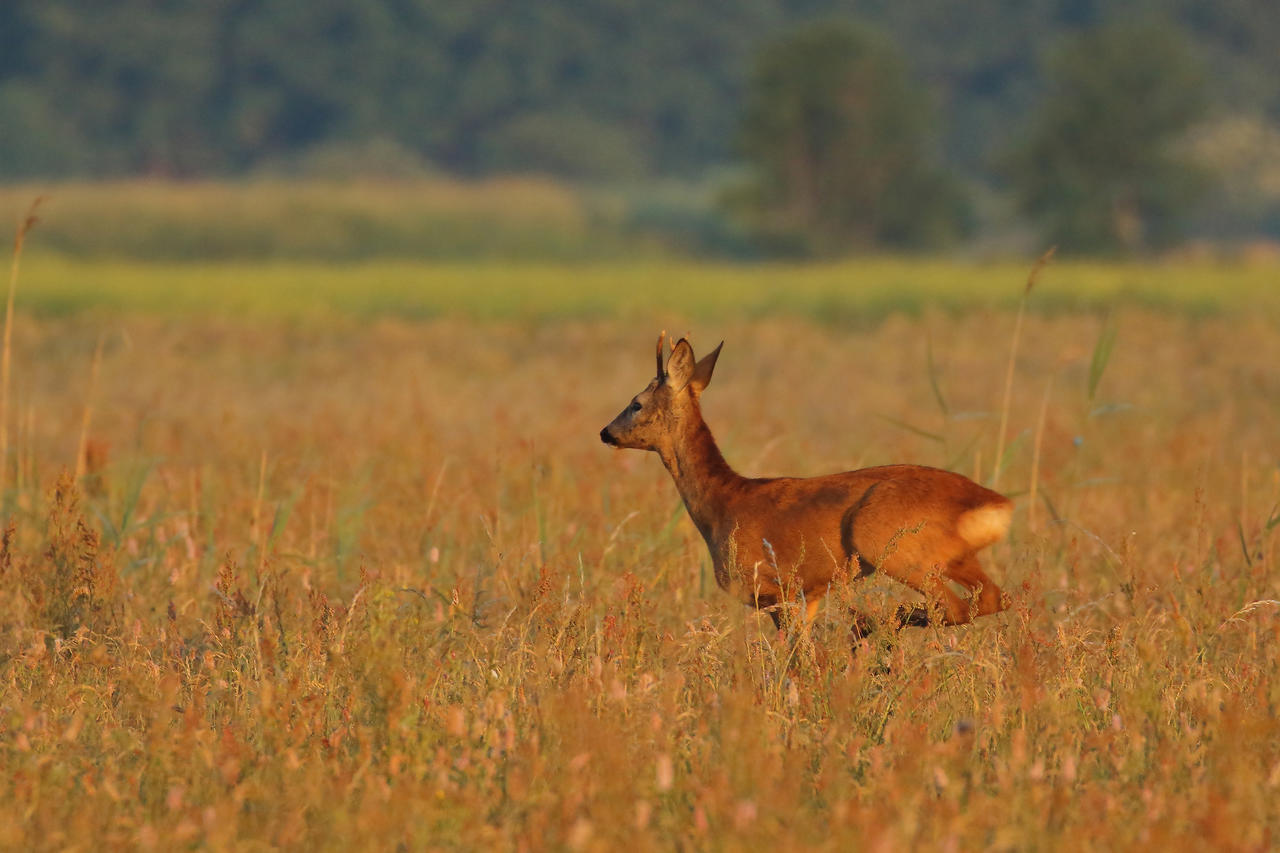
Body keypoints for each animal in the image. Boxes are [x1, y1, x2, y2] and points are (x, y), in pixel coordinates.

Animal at [599, 333, 1008, 630]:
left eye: (636, 403)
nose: (606, 432)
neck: (722, 503)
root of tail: (994, 503)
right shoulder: (807, 594)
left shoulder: (772, 587)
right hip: (955, 555)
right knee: (993, 597)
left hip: (892, 545)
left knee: (951, 606)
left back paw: (874, 625)